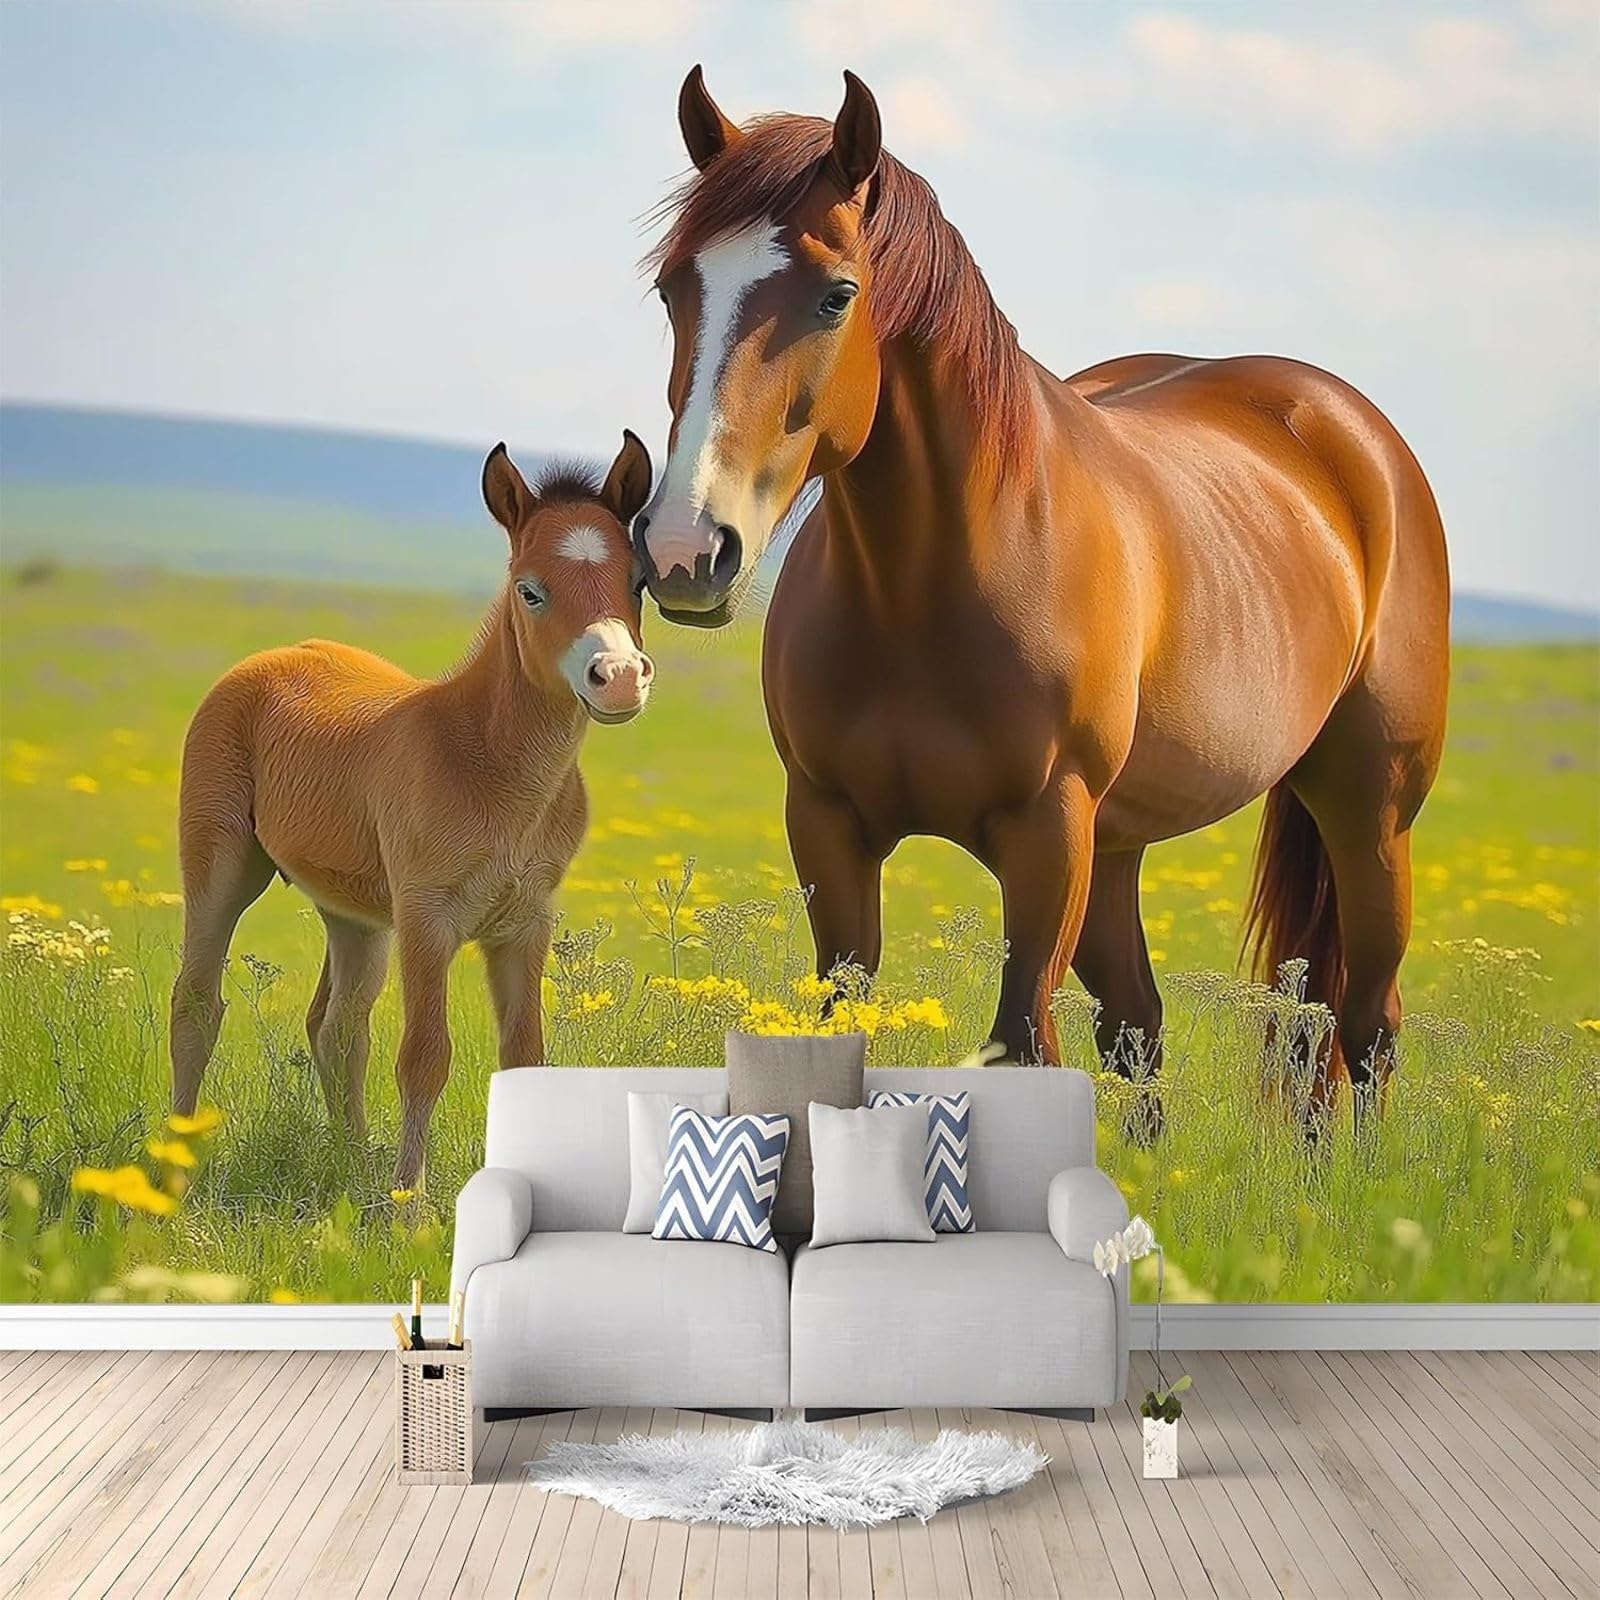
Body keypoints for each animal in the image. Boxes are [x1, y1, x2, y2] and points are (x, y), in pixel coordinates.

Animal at [170, 433, 654, 1184]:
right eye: (531, 590)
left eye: (637, 582)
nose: (620, 679)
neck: (489, 763)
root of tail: (269, 657)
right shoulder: (428, 920)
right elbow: (425, 1057)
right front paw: (410, 1199)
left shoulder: (526, 924)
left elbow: (525, 1058)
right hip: (222, 866)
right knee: (196, 1003)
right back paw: (174, 1164)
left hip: (356, 913)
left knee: (338, 1024)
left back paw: (350, 1158)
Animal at [633, 67, 1450, 1121]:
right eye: (673, 289)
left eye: (836, 296)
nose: (687, 548)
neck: (922, 590)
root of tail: (1349, 431)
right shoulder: (828, 828)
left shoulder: (1047, 835)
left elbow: (1023, 1041)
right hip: (1122, 845)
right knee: (1151, 1028)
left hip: (1367, 812)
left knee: (1363, 1026)